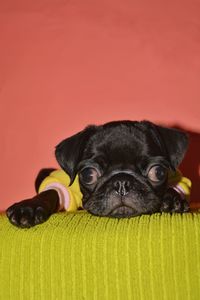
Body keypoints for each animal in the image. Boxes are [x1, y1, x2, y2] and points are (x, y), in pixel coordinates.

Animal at [6, 120, 190, 227]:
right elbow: (52, 192)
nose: (121, 182)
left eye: (158, 172)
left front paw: (172, 200)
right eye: (88, 174)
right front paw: (29, 207)